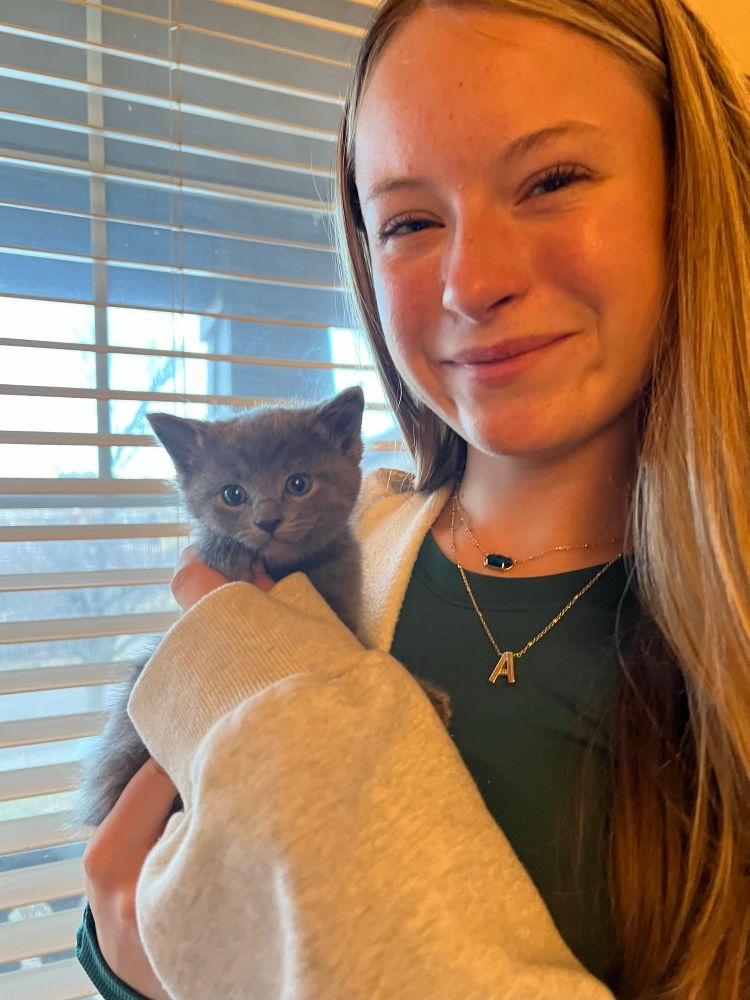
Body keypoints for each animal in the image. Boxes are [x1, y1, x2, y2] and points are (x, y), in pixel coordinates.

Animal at [76, 386, 451, 828]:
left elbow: (363, 650)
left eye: (299, 483)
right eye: (233, 494)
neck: (285, 566)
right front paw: (225, 549)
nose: (268, 520)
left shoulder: (344, 604)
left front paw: (427, 692)